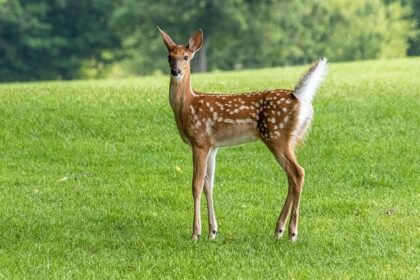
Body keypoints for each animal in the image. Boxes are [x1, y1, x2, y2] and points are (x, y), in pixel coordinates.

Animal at [158, 26, 328, 241]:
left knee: (298, 173)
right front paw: (213, 231)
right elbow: (209, 185)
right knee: (292, 177)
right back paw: (279, 229)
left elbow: (196, 185)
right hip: (289, 140)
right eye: (169, 56)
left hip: (277, 136)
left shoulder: (200, 141)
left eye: (186, 57)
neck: (187, 105)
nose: (176, 71)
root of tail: (298, 97)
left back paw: (292, 232)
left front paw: (196, 233)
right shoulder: (213, 146)